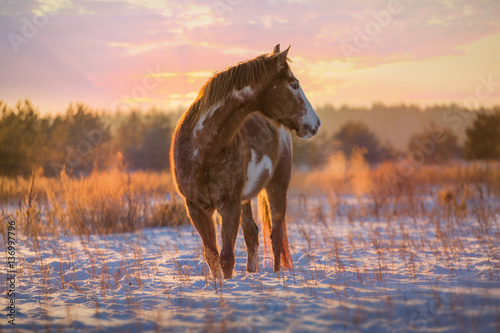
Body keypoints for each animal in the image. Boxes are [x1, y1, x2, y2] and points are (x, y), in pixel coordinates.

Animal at [171, 43, 320, 278]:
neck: (202, 148)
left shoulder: (229, 205)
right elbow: (212, 256)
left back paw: (277, 276)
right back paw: (252, 273)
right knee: (252, 235)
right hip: (246, 199)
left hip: (277, 187)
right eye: (294, 85)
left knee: (276, 236)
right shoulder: (196, 208)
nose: (315, 123)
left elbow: (226, 258)